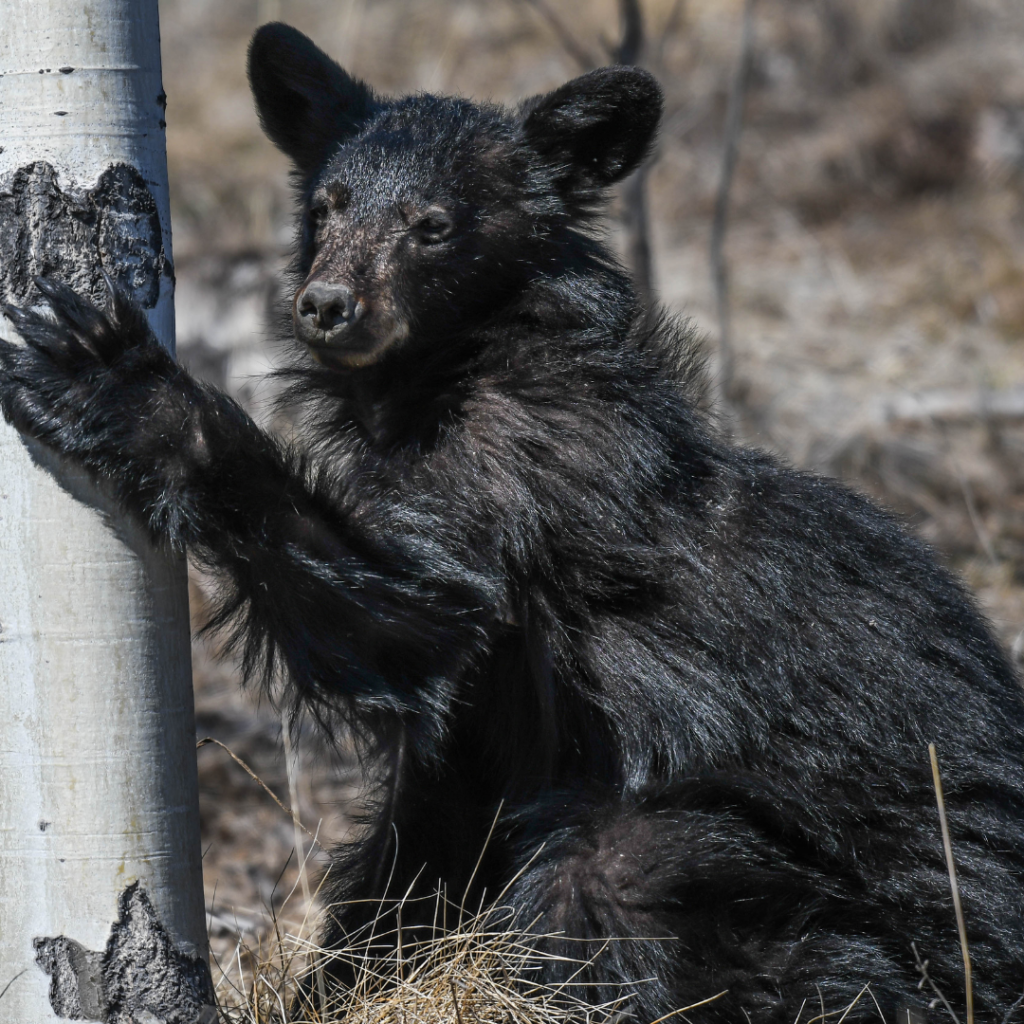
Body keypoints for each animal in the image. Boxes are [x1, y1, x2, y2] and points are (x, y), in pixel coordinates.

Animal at [2, 24, 1024, 1024]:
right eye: (329, 205)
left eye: (433, 226)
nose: (329, 306)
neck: (445, 370)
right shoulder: (482, 721)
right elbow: (422, 823)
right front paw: (332, 986)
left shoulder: (518, 481)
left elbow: (423, 615)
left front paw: (112, 382)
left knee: (622, 873)